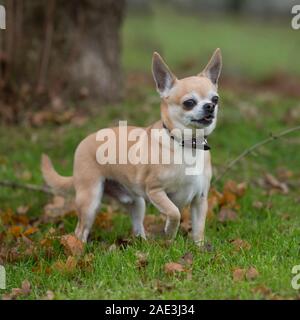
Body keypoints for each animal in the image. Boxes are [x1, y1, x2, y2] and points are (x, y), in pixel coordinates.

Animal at [41, 49, 221, 245]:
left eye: (215, 99)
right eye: (189, 103)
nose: (210, 106)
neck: (187, 144)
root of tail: (84, 141)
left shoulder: (200, 200)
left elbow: (198, 229)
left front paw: (199, 248)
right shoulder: (155, 191)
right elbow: (175, 212)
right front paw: (169, 233)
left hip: (136, 202)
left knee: (137, 225)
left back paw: (142, 242)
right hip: (90, 200)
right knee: (80, 230)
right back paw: (79, 248)